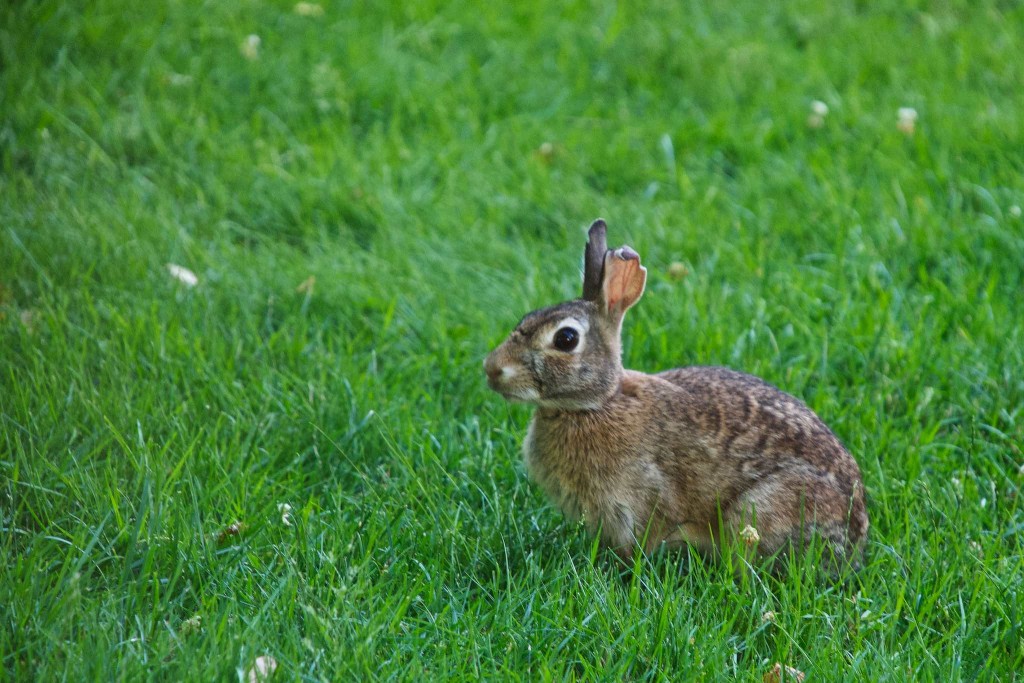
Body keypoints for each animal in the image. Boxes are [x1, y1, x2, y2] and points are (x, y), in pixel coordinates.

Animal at [484, 219, 868, 571]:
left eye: (565, 339)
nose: (491, 369)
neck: (597, 404)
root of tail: (854, 544)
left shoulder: (643, 498)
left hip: (762, 508)